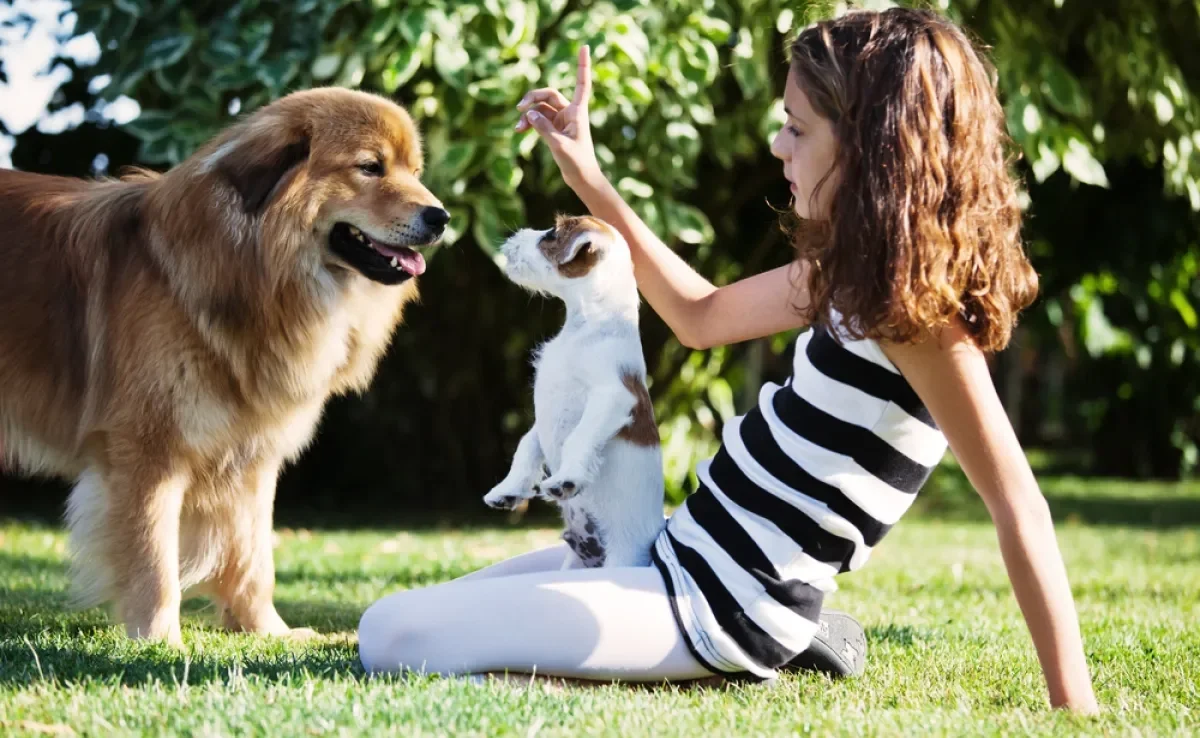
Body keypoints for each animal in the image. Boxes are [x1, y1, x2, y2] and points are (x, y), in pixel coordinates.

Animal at [0, 88, 448, 648]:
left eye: (415, 170)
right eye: (370, 167)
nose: (441, 217)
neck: (252, 267)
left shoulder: (252, 452)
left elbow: (253, 558)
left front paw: (268, 631)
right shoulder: (147, 453)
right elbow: (153, 559)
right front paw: (160, 641)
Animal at [480, 216, 667, 568]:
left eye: (551, 234)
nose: (514, 235)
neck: (585, 328)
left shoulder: (614, 396)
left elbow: (579, 438)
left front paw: (566, 479)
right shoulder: (543, 417)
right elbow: (527, 444)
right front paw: (508, 488)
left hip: (621, 560)